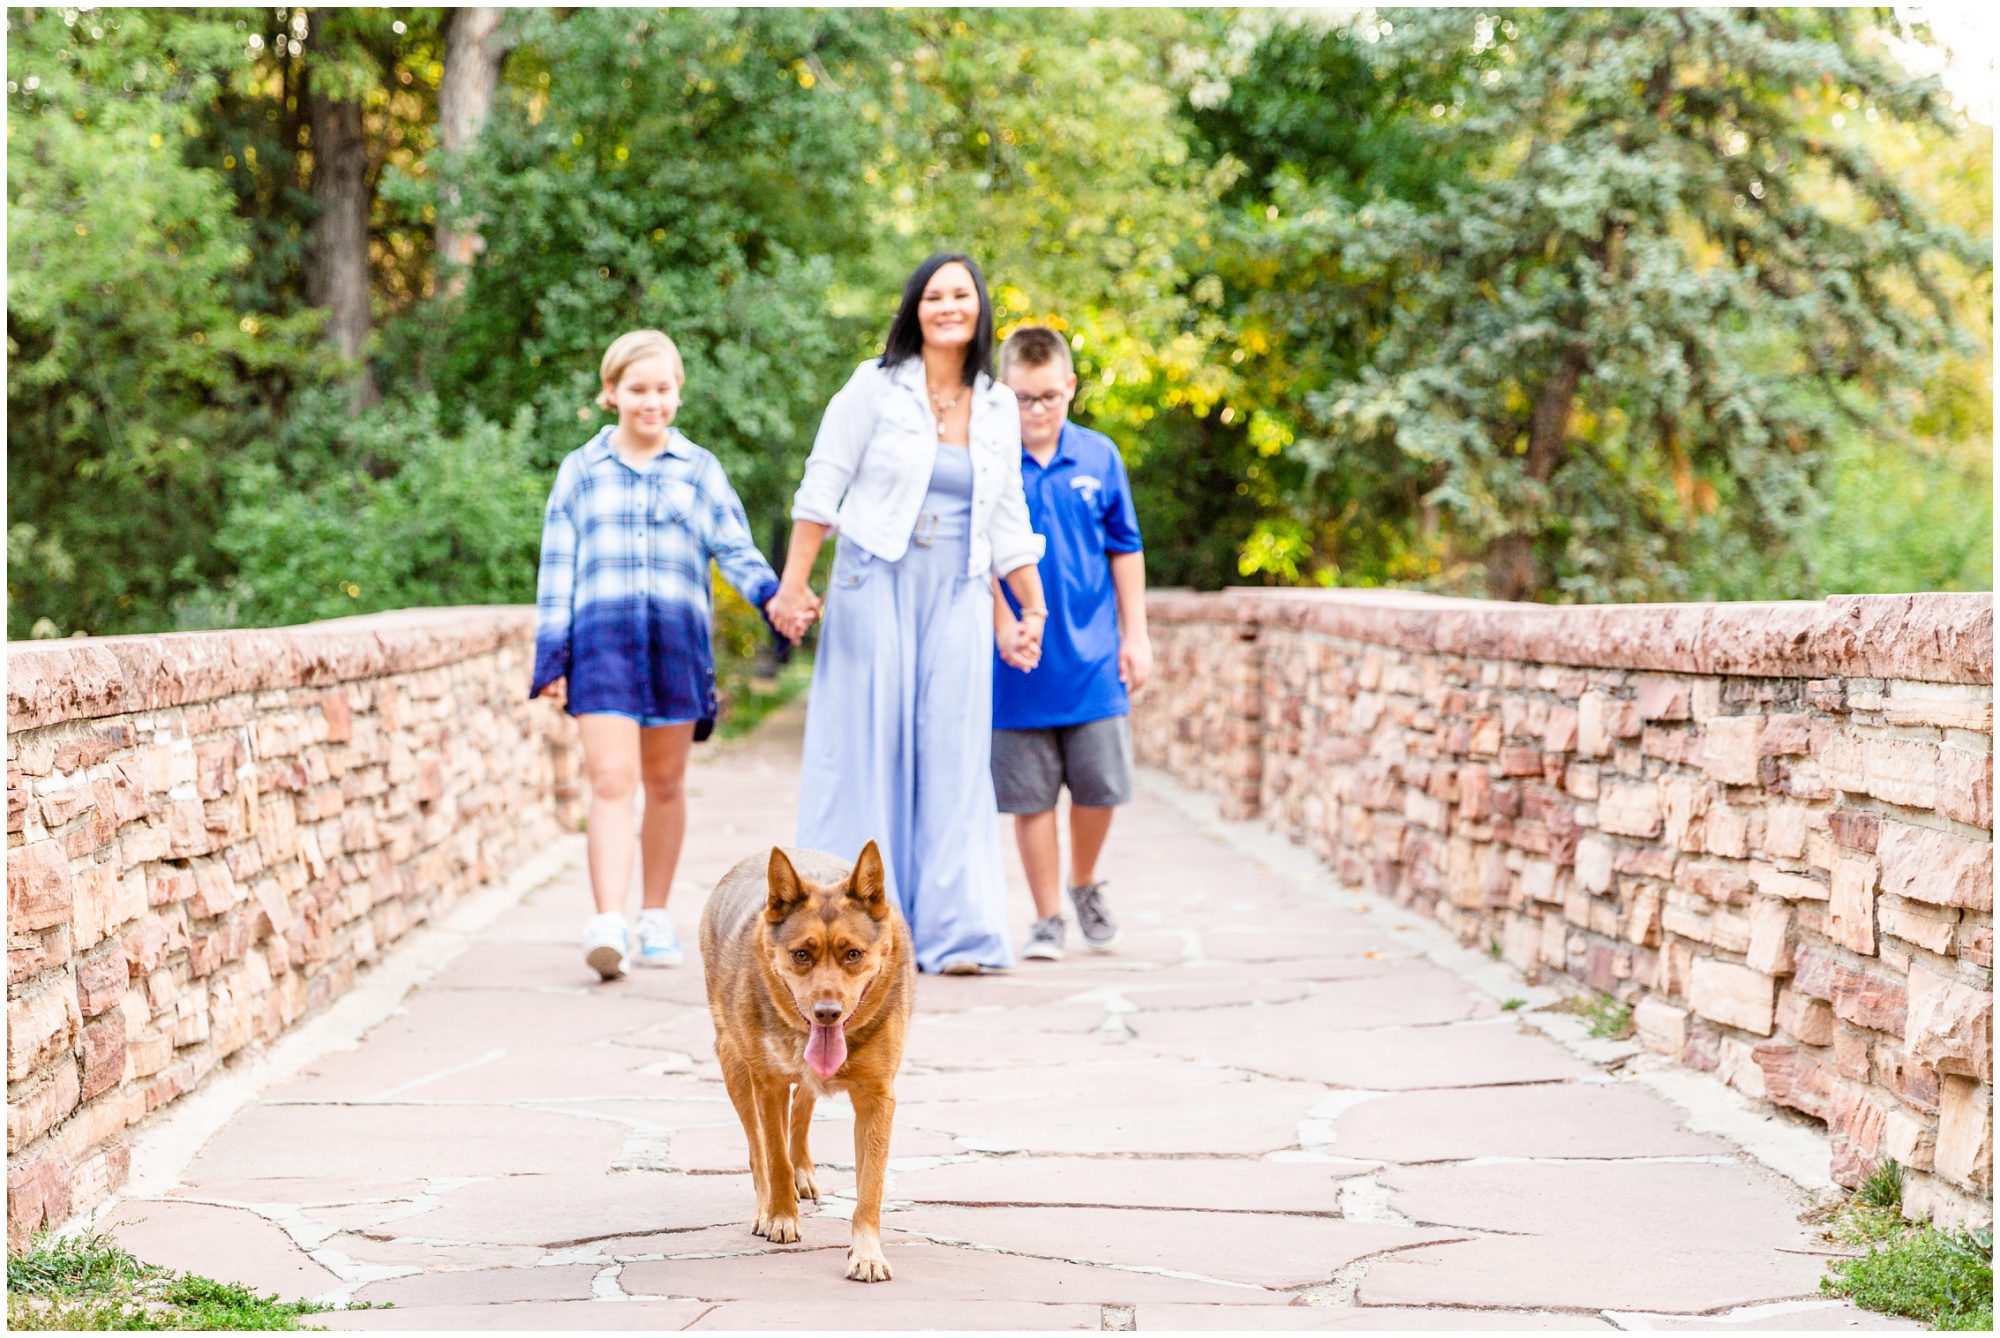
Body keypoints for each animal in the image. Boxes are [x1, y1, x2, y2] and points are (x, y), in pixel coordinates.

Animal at [700, 840, 916, 1280]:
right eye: (801, 954)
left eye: (853, 954)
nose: (827, 1013)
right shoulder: (767, 1084)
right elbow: (773, 1155)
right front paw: (780, 1217)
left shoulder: (878, 1097)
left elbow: (871, 1185)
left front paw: (867, 1252)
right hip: (735, 1066)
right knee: (758, 1148)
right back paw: (766, 1204)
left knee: (801, 1108)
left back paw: (803, 1171)